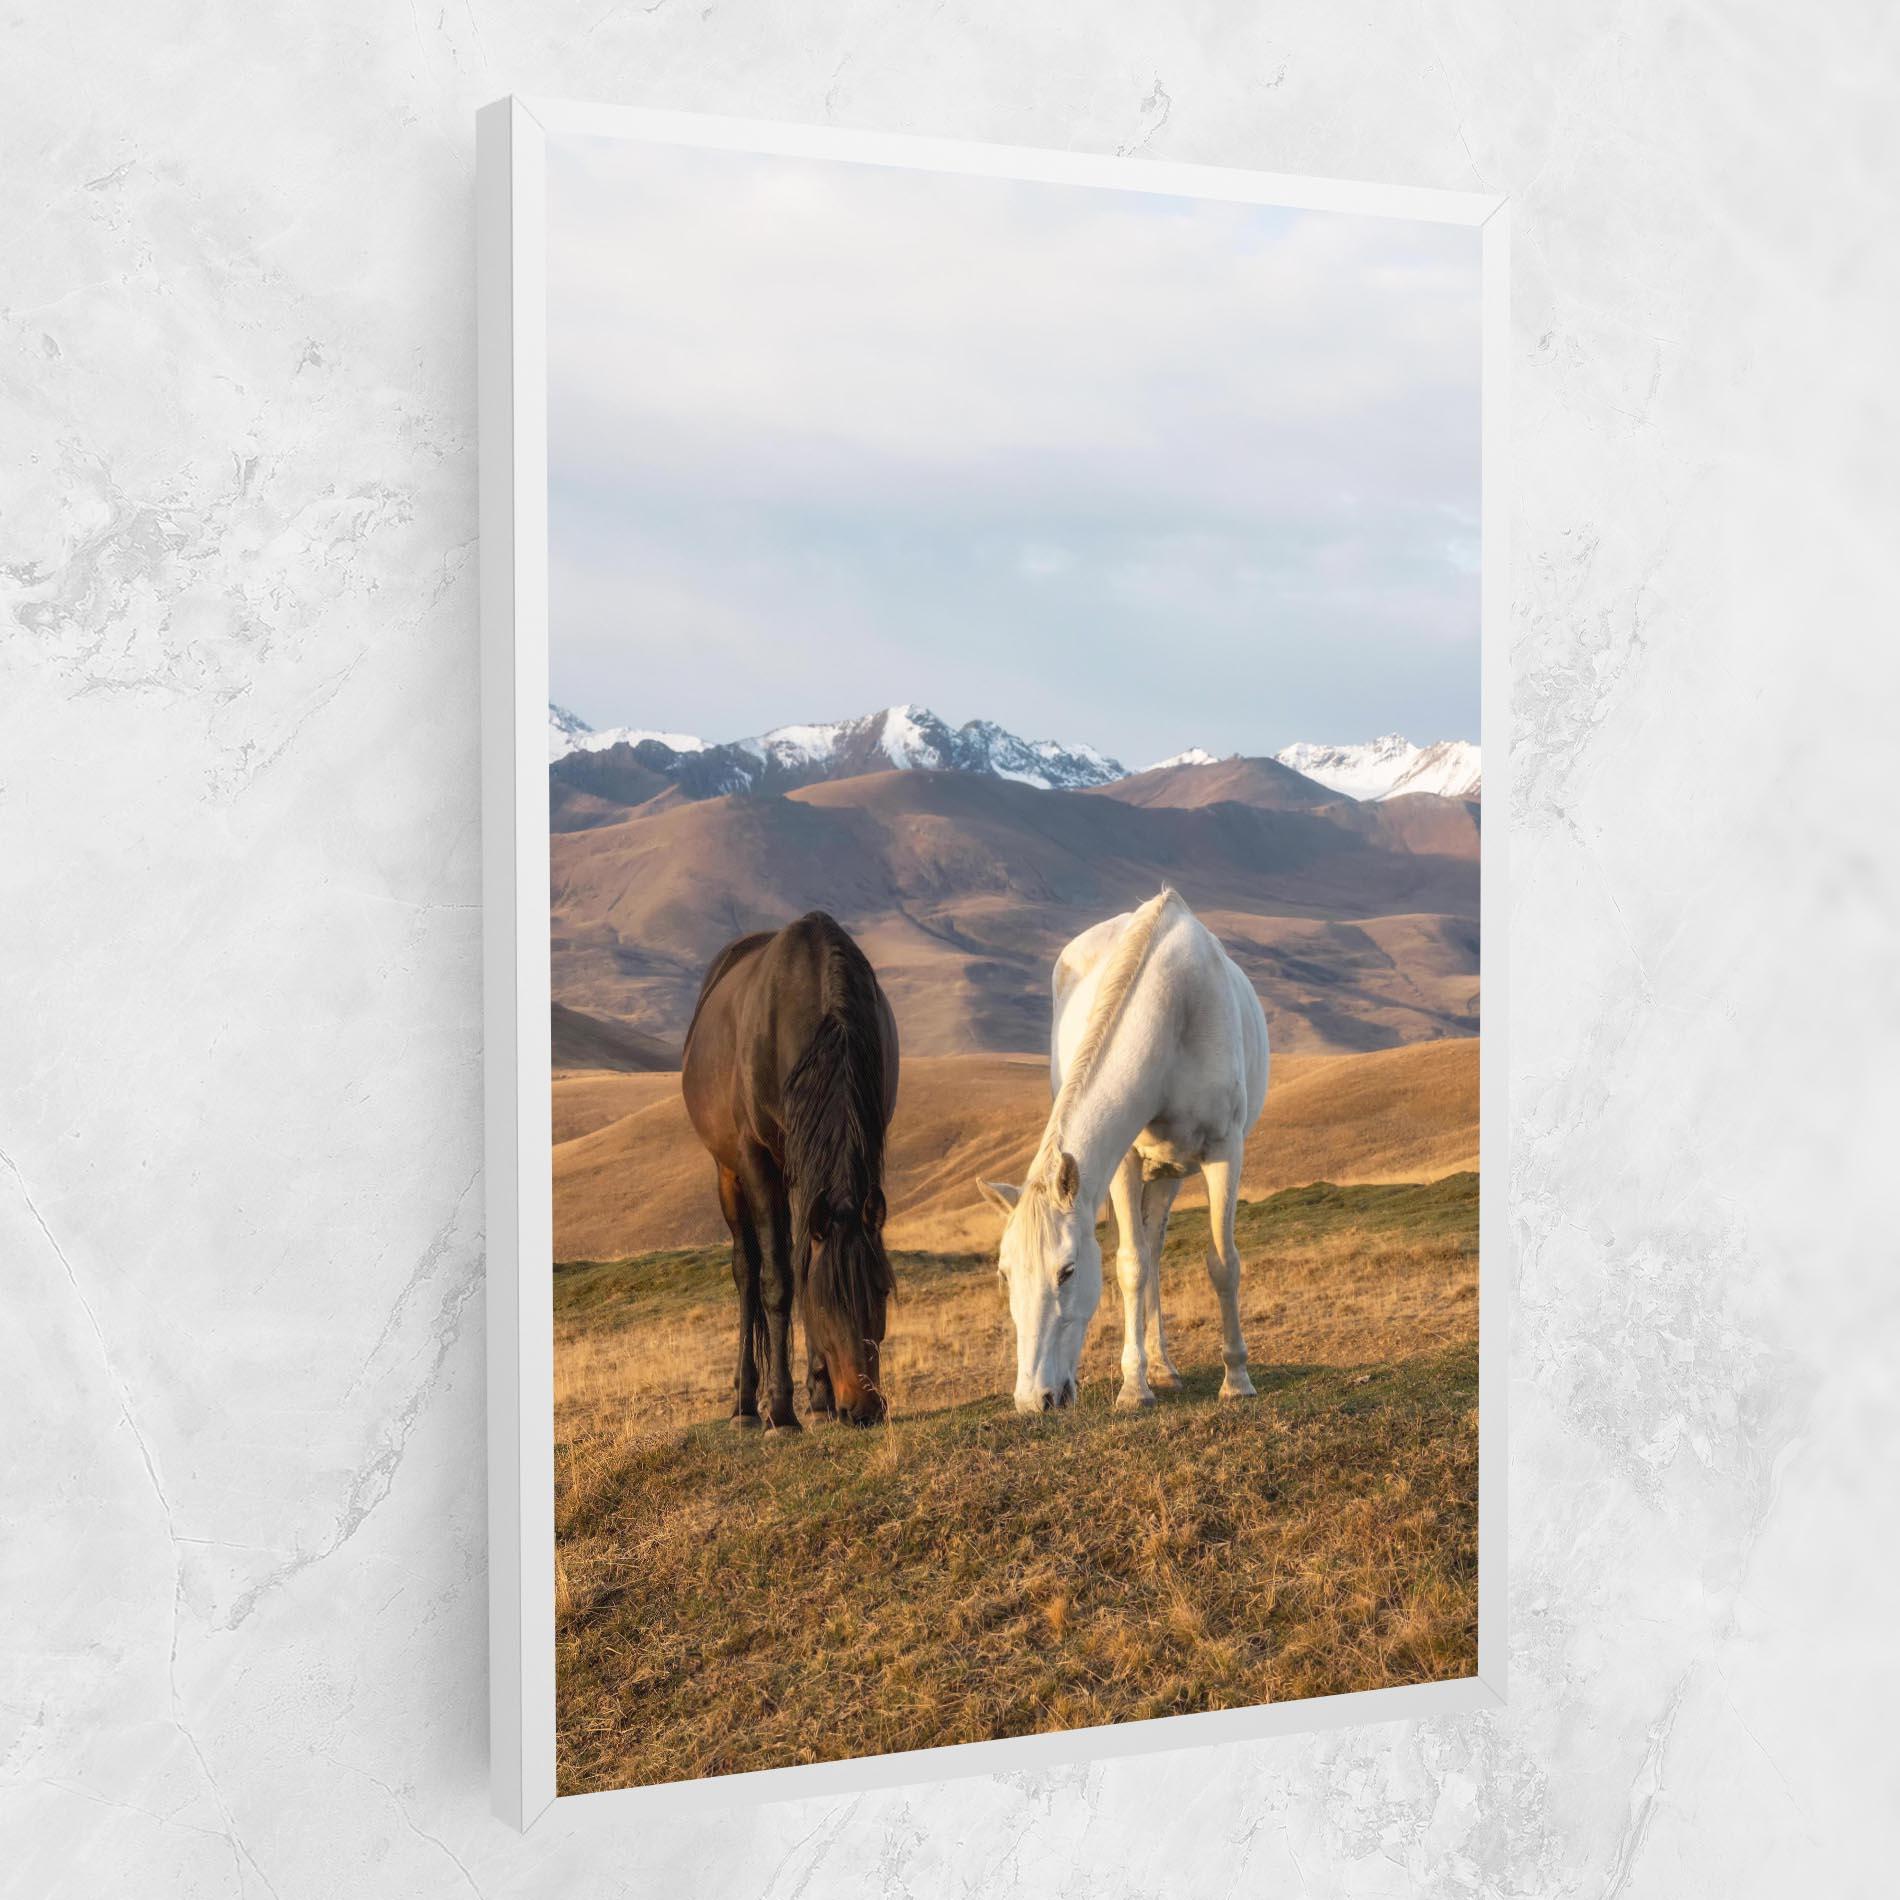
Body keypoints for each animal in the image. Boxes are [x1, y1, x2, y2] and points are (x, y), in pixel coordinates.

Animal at [681, 911, 900, 1428]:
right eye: (824, 1303)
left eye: (882, 1291)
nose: (863, 1409)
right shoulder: (757, 1161)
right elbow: (779, 1280)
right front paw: (782, 1412)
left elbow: (803, 1260)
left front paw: (819, 1399)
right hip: (728, 1173)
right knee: (747, 1272)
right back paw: (746, 1405)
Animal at [977, 887, 1269, 1414]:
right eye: (1005, 1274)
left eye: (1067, 1271)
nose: (1034, 1399)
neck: (1174, 1009)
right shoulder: (1125, 1162)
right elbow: (1131, 1265)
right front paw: (1134, 1387)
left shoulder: (1224, 1151)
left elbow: (1224, 1263)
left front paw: (1236, 1379)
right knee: (1146, 1255)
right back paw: (1157, 1369)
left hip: (1173, 1171)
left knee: (1160, 1249)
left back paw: (1169, 1367)